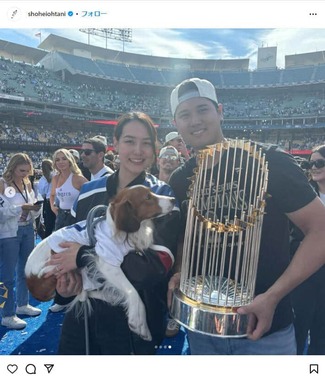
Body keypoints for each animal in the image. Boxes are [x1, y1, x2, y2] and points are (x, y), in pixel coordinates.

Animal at [25, 185, 175, 342]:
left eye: (151, 192)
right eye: (147, 197)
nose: (173, 199)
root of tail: (30, 281)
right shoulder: (107, 262)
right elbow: (131, 291)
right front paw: (139, 323)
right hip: (55, 270)